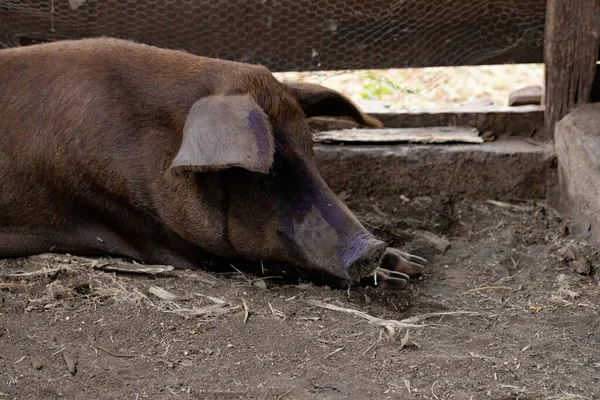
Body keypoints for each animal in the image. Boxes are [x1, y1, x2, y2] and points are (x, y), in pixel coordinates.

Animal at [0, 37, 424, 290]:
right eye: (267, 174)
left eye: (311, 153)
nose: (372, 247)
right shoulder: (151, 232)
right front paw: (399, 275)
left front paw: (414, 265)